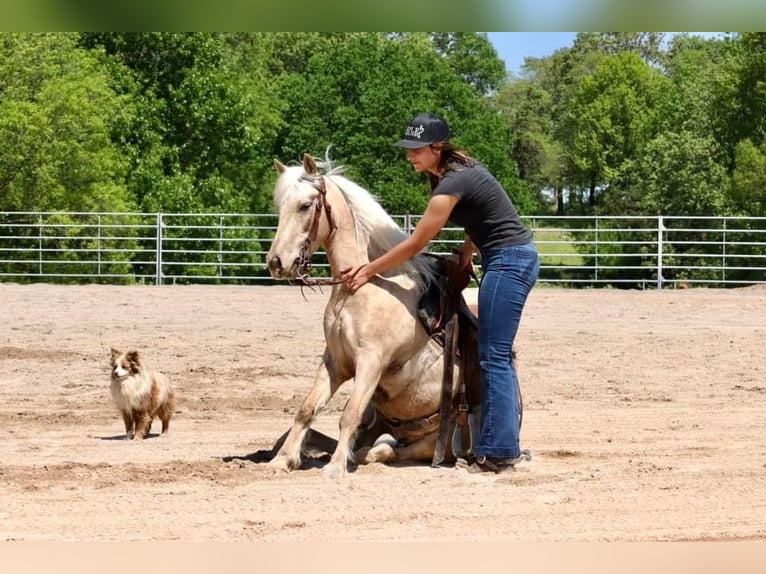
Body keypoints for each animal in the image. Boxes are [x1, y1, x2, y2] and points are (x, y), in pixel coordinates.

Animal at [268, 154, 476, 482]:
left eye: (305, 205)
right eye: (280, 206)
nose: (276, 262)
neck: (360, 287)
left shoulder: (370, 361)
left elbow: (349, 414)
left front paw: (335, 467)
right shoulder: (335, 361)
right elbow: (306, 409)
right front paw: (283, 459)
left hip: (434, 443)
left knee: (390, 451)